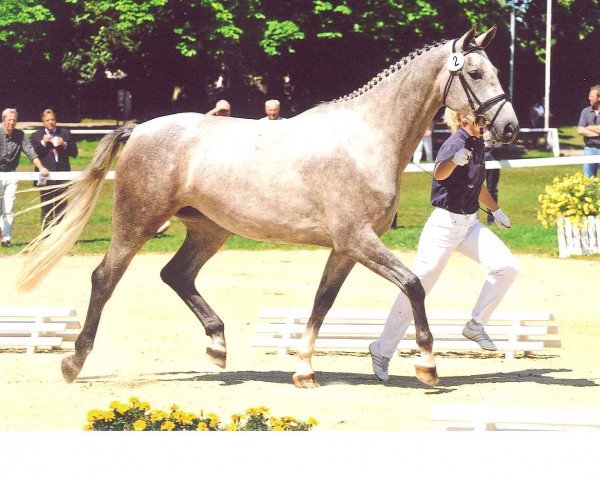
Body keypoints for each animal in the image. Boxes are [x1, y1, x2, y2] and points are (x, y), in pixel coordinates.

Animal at [17, 25, 516, 386]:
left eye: (495, 69)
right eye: (474, 74)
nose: (509, 127)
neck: (368, 137)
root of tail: (138, 128)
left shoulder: (346, 248)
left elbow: (322, 301)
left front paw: (304, 370)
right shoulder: (358, 239)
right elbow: (412, 285)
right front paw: (428, 365)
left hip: (209, 229)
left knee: (176, 275)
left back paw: (218, 346)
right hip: (137, 222)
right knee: (105, 278)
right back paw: (74, 363)